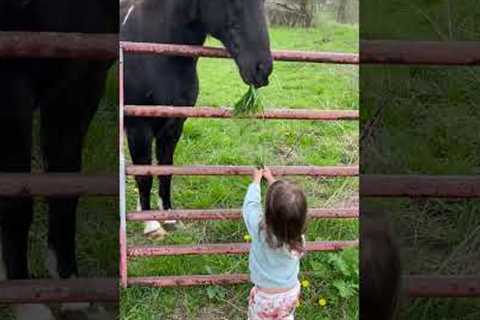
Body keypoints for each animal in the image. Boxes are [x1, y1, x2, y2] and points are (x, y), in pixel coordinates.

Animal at [0, 1, 117, 318]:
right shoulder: (10, 90)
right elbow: (16, 199)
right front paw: (26, 302)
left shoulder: (80, 83)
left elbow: (66, 186)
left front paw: (69, 285)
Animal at [119, 0, 272, 238]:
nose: (262, 69)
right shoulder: (139, 128)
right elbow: (144, 174)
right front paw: (151, 224)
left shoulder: (173, 126)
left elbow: (164, 171)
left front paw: (168, 217)